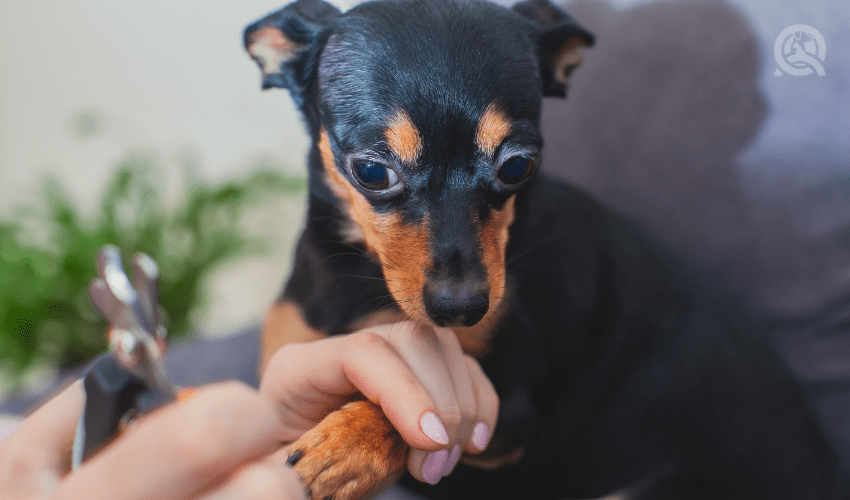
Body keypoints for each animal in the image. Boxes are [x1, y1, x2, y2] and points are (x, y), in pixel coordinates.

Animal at [242, 0, 844, 500]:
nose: (462, 308)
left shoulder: (504, 412)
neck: (364, 284)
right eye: (371, 172)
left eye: (517, 166)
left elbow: (421, 409)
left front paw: (345, 445)